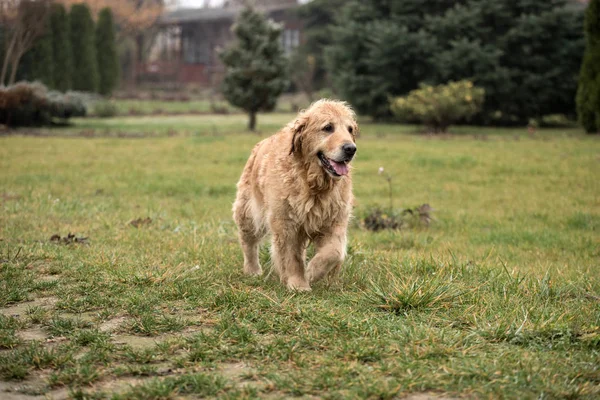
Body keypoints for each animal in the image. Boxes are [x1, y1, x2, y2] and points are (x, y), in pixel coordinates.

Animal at [233, 98, 356, 290]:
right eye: (328, 127)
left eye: (350, 129)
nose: (351, 148)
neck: (313, 183)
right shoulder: (286, 222)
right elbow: (292, 256)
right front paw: (299, 284)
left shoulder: (335, 220)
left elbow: (334, 251)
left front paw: (312, 271)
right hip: (248, 212)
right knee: (248, 243)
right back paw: (252, 270)